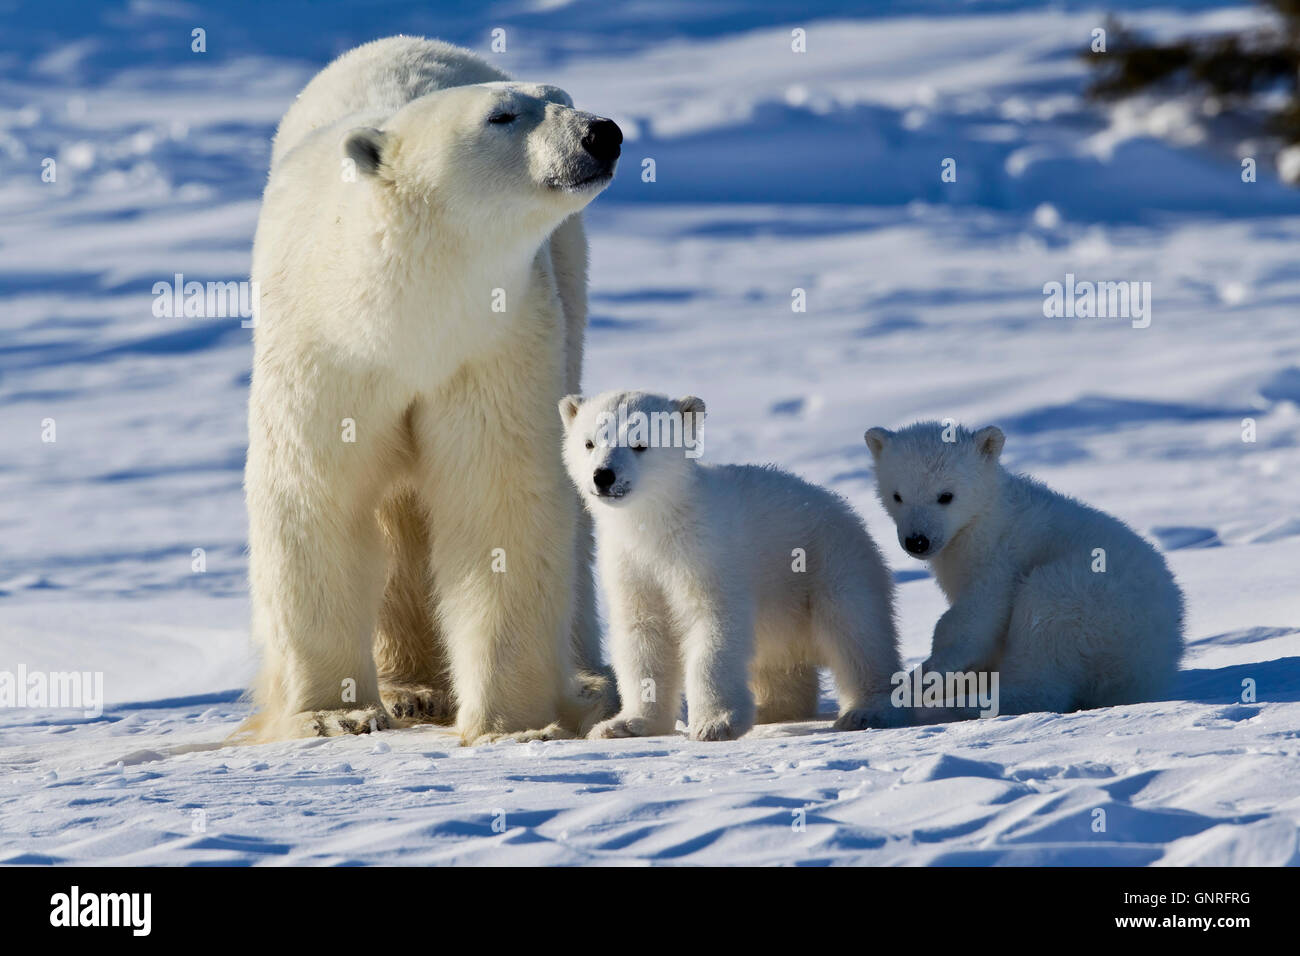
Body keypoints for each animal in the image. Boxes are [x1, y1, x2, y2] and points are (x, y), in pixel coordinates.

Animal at [239, 39, 618, 749]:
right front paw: (330, 713)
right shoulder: (324, 351)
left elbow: (499, 497)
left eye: (563, 95)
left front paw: (513, 723)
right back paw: (409, 689)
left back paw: (586, 678)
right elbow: (313, 496)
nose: (601, 132)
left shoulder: (495, 341)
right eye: (502, 115)